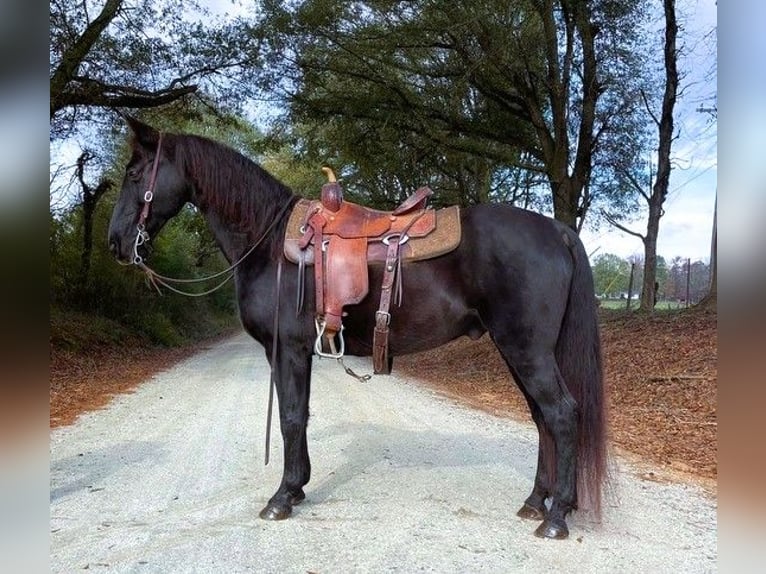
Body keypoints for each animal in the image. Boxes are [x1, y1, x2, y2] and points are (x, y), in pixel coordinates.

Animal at [109, 117, 612, 540]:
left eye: (134, 174)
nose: (115, 242)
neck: (269, 242)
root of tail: (557, 230)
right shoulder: (298, 351)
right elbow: (301, 414)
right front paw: (298, 487)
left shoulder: (286, 349)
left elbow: (291, 417)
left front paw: (281, 497)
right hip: (519, 351)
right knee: (543, 418)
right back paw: (535, 502)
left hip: (527, 350)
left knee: (562, 414)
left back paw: (556, 516)